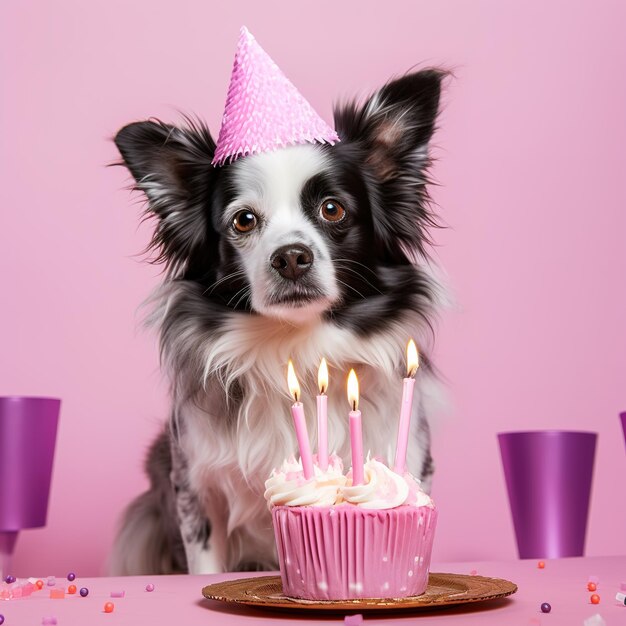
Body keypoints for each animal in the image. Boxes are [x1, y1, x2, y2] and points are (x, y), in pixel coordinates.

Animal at [109, 67, 446, 572]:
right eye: (244, 221)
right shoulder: (195, 490)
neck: (294, 346)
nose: (290, 257)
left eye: (333, 209)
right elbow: (204, 561)